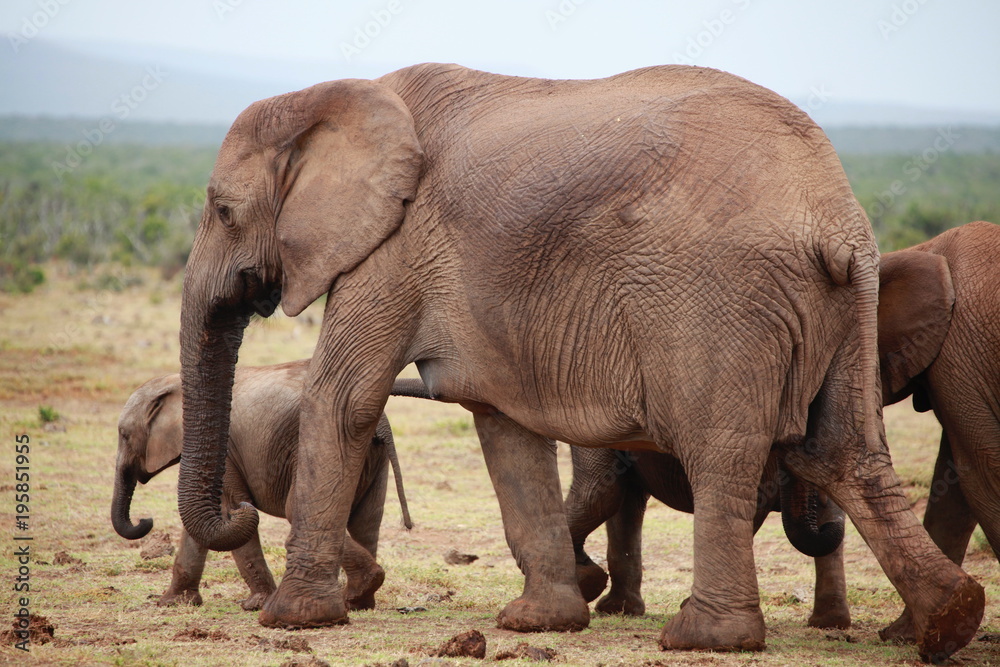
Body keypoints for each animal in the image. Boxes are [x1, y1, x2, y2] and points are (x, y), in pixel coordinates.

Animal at [112, 360, 426, 612]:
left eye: (124, 435)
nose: (145, 520)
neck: (176, 384)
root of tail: (381, 424)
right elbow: (204, 526)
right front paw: (172, 603)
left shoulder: (226, 453)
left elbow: (224, 516)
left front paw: (255, 605)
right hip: (372, 459)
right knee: (366, 520)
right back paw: (358, 601)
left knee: (298, 510)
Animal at [176, 65, 980, 660]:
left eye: (222, 210)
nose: (238, 508)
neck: (333, 96)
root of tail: (833, 215)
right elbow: (502, 426)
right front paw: (540, 624)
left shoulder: (392, 248)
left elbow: (342, 398)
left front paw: (290, 620)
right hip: (853, 300)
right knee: (845, 451)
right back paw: (952, 620)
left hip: (723, 303)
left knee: (722, 448)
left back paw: (704, 637)